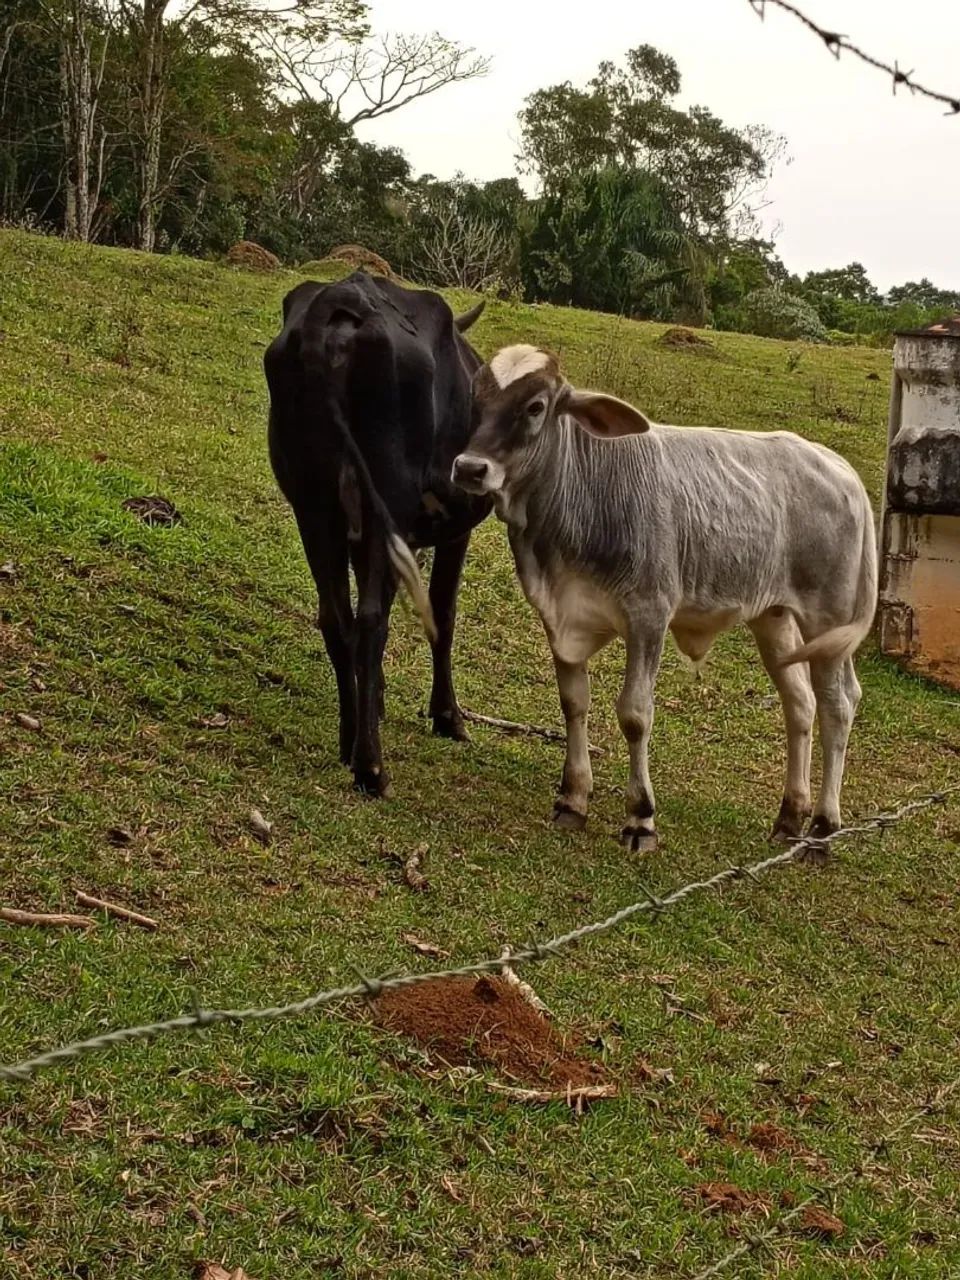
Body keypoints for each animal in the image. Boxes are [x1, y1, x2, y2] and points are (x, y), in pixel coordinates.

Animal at [264, 272, 491, 796]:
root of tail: (335, 304)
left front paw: (380, 701)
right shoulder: (448, 530)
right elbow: (443, 614)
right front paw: (447, 716)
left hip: (314, 506)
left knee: (336, 618)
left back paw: (350, 740)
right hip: (384, 496)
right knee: (369, 621)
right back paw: (370, 766)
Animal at [452, 344, 877, 850]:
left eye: (535, 406)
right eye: (476, 396)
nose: (470, 468)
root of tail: (842, 469)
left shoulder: (648, 615)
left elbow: (635, 714)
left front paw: (641, 817)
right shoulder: (560, 618)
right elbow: (574, 703)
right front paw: (573, 799)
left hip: (828, 621)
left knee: (838, 704)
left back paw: (824, 826)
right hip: (773, 617)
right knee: (800, 703)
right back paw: (790, 815)